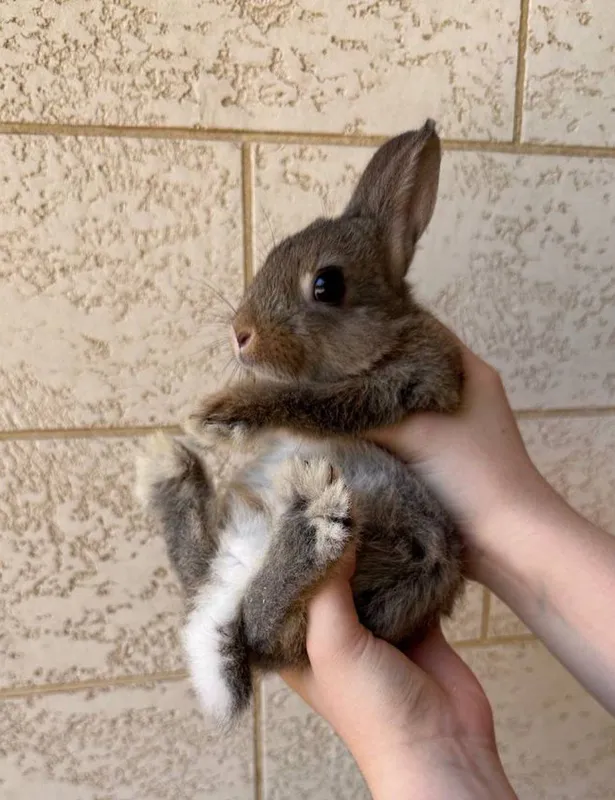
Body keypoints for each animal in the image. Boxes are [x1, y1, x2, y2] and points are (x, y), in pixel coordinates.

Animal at [136, 119, 466, 729]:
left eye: (326, 285)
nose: (239, 334)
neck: (387, 336)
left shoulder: (402, 383)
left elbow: (313, 399)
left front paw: (223, 412)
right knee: (210, 582)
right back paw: (171, 474)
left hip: (401, 541)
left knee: (260, 624)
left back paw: (308, 525)